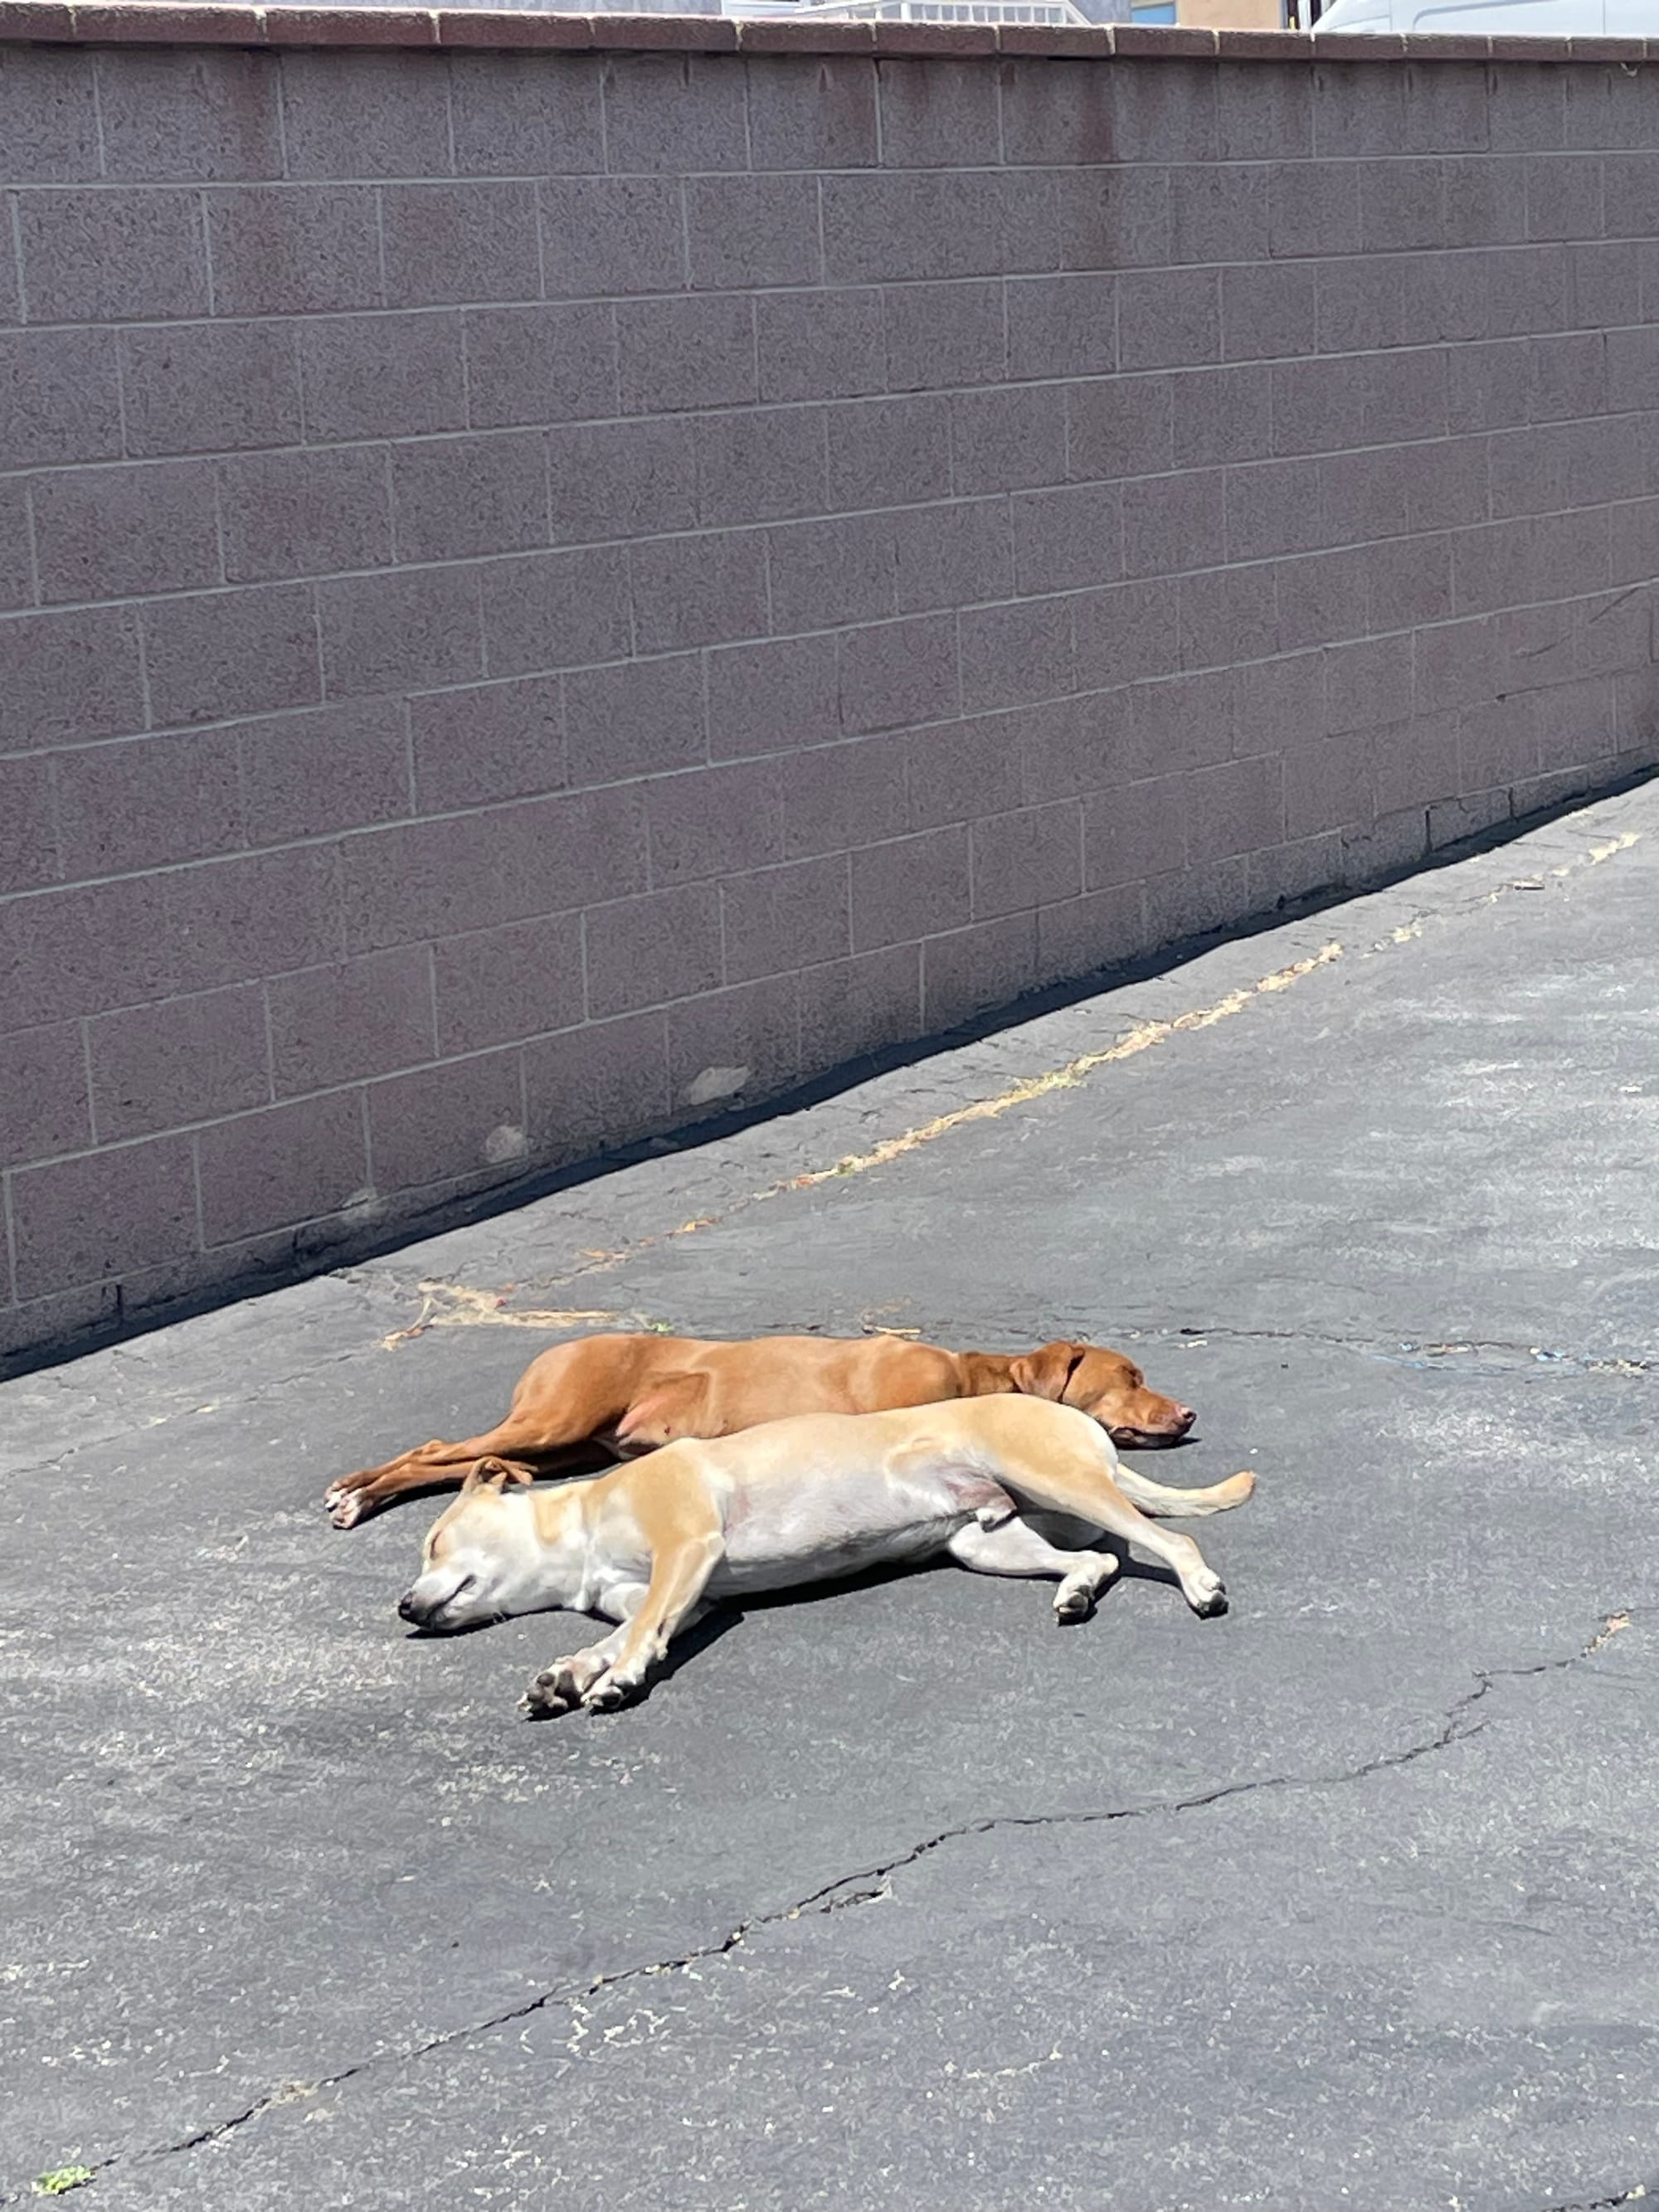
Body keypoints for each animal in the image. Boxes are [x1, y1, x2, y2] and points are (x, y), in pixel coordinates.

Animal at [395, 1395, 1254, 1716]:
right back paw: (1075, 1592)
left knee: (1167, 1538)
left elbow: (640, 1635)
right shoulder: (684, 1595)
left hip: (1055, 1478)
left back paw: (1199, 1583)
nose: (402, 1605)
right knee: (1099, 1562)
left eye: (433, 1540)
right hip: (989, 1540)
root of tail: (1080, 1423)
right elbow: (628, 1629)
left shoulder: (686, 1549)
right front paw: (570, 1673)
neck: (580, 1525)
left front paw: (616, 1678)